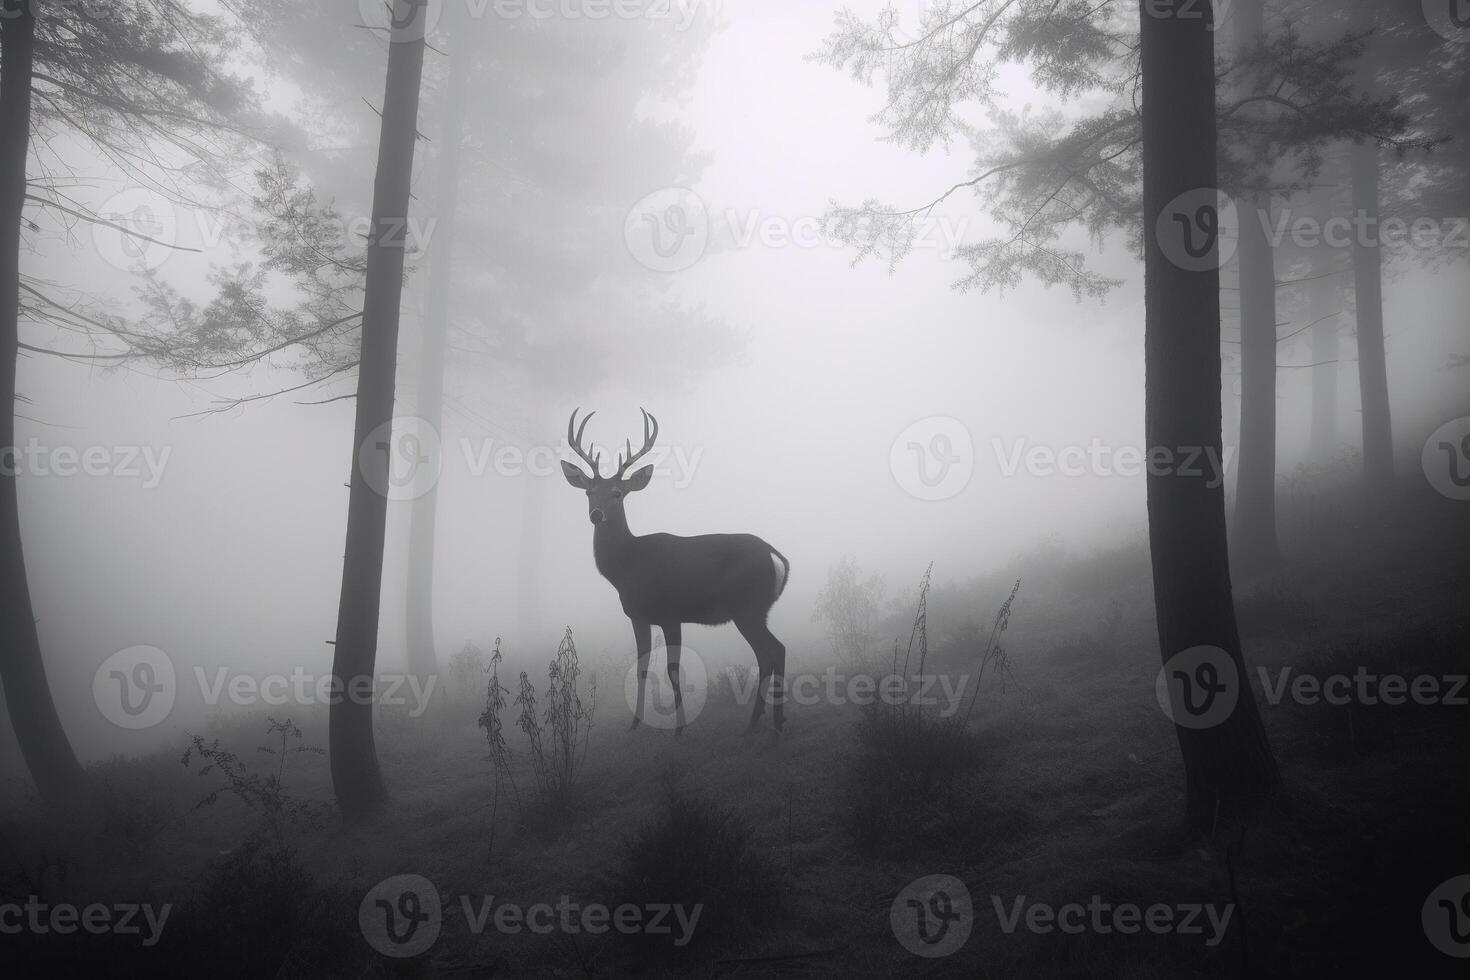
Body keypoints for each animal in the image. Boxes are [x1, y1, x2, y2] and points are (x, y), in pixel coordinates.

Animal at [561, 408, 793, 734]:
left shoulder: (670, 614)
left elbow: (672, 669)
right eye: (588, 492)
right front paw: (634, 725)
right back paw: (772, 719)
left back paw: (759, 722)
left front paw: (680, 728)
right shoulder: (638, 616)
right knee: (772, 652)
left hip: (747, 607)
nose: (596, 514)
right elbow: (642, 668)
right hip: (757, 610)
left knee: (772, 651)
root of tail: (776, 556)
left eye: (618, 493)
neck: (626, 568)